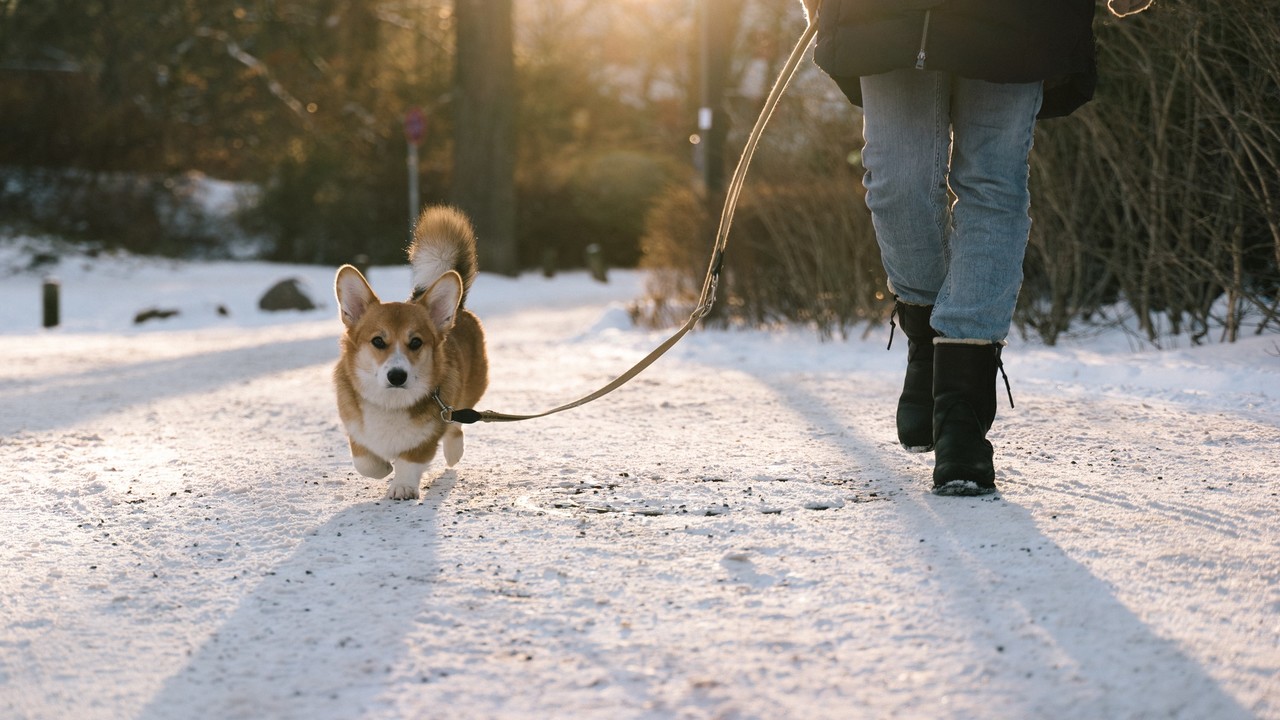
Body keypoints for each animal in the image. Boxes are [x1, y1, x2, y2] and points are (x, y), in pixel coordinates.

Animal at [332, 206, 486, 499]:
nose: (397, 376)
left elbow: (409, 460)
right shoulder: (355, 430)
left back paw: (454, 452)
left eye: (415, 343)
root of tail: (458, 309)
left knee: (457, 422)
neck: (391, 403)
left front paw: (402, 486)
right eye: (378, 341)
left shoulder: (427, 437)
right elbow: (365, 462)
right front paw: (384, 468)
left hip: (468, 391)